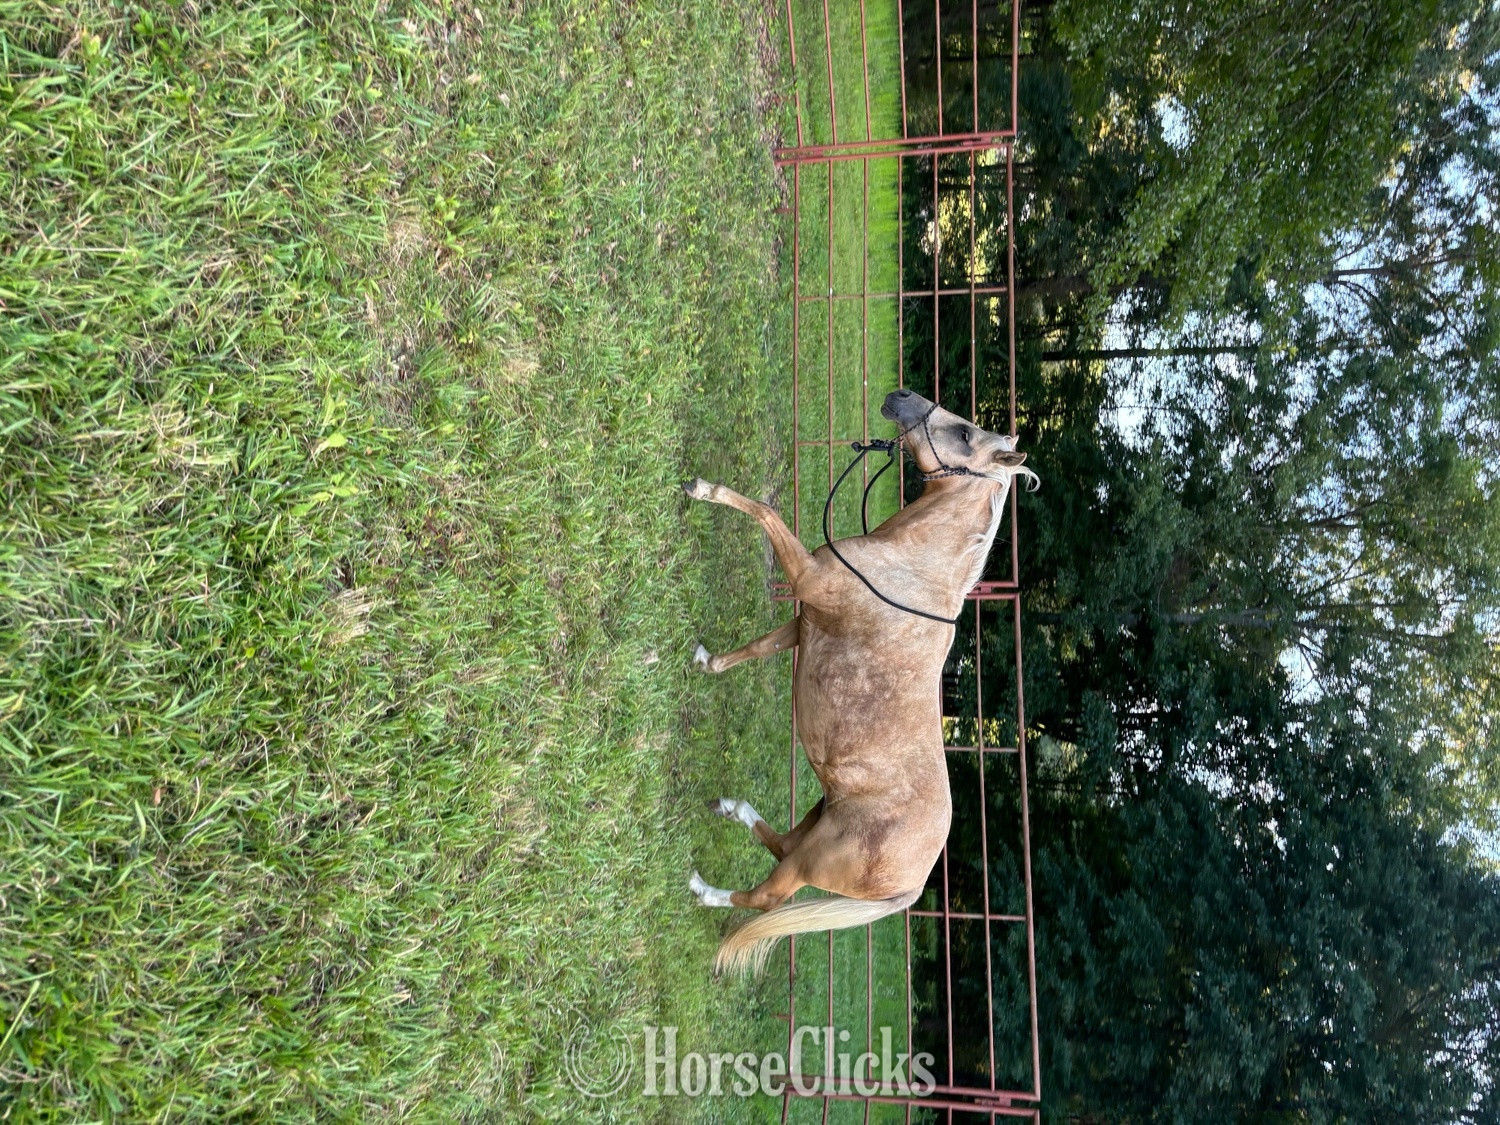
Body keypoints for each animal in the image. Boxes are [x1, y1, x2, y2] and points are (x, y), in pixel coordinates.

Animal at [683, 388, 1037, 976]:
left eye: (965, 434)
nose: (902, 397)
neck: (912, 570)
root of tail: (913, 886)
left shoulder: (806, 580)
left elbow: (765, 510)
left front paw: (703, 489)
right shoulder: (805, 622)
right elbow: (755, 650)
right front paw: (706, 661)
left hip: (813, 860)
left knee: (765, 897)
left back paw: (701, 888)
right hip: (818, 818)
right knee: (780, 844)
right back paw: (733, 809)